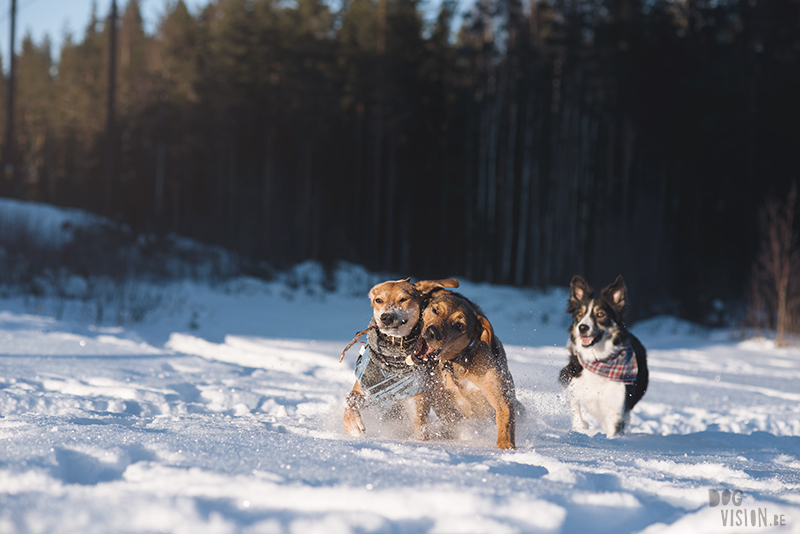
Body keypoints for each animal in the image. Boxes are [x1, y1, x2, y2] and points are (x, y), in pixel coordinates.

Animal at [342, 278, 460, 442]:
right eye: (379, 300)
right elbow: (351, 398)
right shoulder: (366, 387)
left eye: (403, 299)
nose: (386, 317)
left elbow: (421, 432)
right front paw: (353, 424)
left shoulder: (417, 409)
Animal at [412, 292, 520, 450]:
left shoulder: (499, 396)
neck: (457, 362)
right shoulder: (439, 400)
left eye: (459, 325)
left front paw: (505, 445)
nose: (432, 333)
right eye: (435, 310)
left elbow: (504, 419)